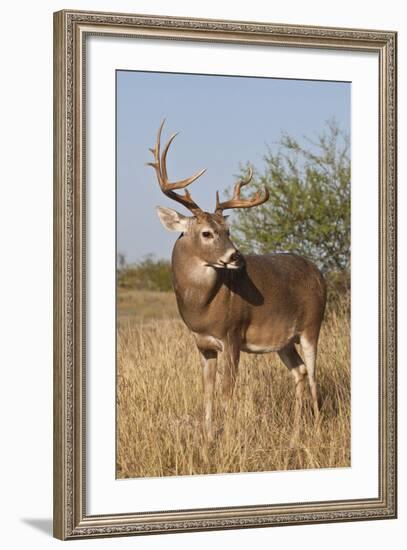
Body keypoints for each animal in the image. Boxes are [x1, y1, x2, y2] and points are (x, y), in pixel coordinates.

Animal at [147, 121, 328, 444]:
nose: (235, 256)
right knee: (299, 372)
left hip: (312, 325)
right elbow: (207, 392)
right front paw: (208, 439)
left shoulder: (232, 335)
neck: (203, 307)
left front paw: (228, 439)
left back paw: (317, 429)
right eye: (207, 233)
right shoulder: (203, 344)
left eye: (228, 230)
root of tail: (319, 274)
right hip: (284, 340)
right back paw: (296, 433)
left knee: (314, 375)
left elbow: (227, 393)